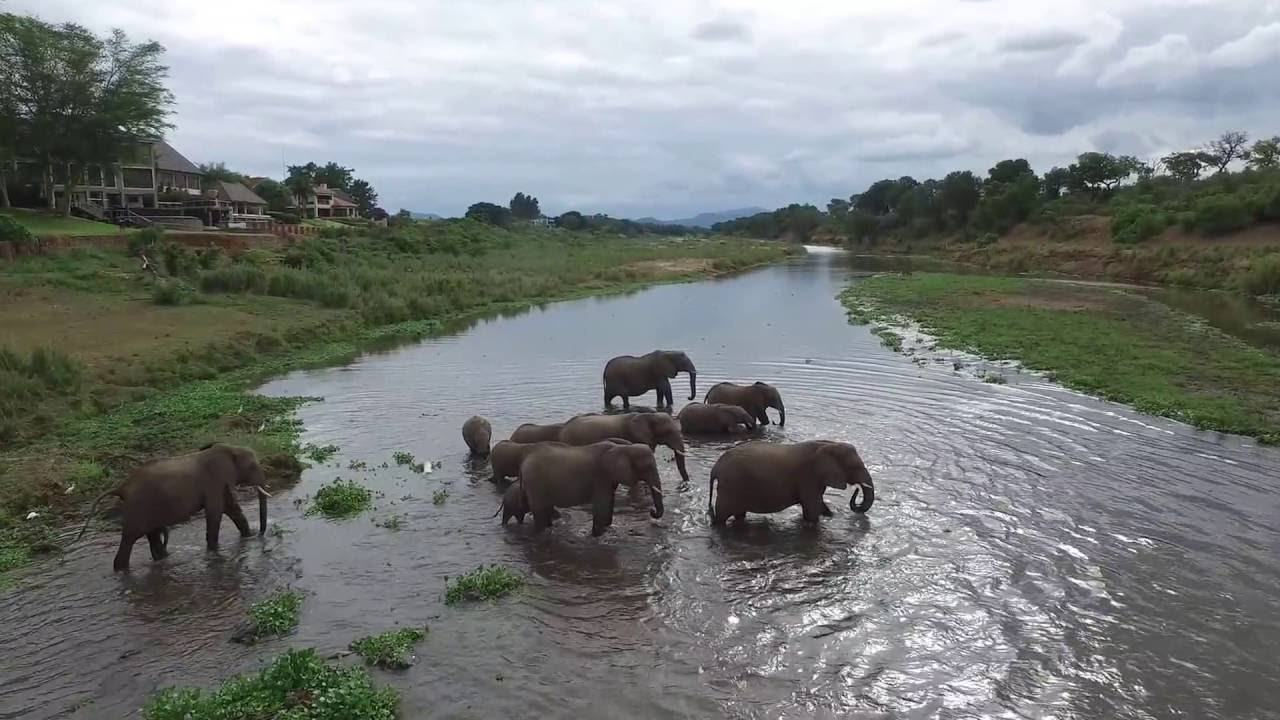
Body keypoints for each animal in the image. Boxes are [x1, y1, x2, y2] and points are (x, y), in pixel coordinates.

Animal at [75, 443, 272, 571]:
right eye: (252, 466)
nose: (261, 534)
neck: (229, 449)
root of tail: (122, 487)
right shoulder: (214, 481)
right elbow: (215, 511)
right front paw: (213, 552)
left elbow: (231, 508)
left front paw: (248, 537)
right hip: (137, 507)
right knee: (130, 538)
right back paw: (121, 569)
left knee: (152, 535)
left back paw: (162, 559)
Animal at [518, 440, 663, 536]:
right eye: (647, 467)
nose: (652, 511)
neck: (623, 448)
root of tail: (525, 458)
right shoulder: (601, 477)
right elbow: (602, 505)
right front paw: (597, 536)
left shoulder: (609, 478)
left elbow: (609, 502)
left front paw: (608, 529)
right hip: (534, 482)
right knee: (540, 511)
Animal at [708, 440, 874, 526]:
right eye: (855, 466)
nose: (857, 489)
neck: (829, 444)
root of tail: (715, 467)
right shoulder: (808, 477)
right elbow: (811, 511)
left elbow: (818, 505)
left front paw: (830, 515)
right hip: (730, 486)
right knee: (721, 517)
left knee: (738, 514)